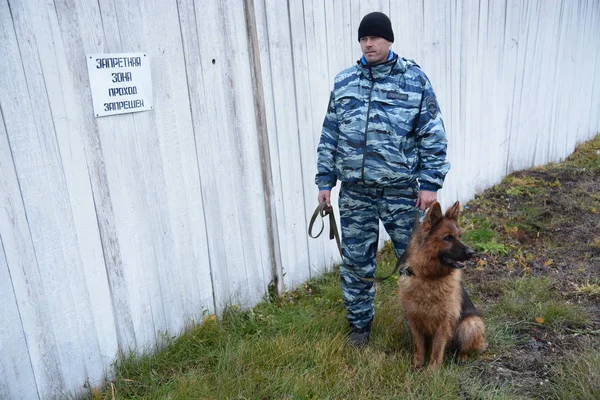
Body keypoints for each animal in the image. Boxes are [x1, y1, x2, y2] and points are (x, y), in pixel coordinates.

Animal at [398, 202, 488, 370]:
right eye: (448, 238)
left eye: (460, 236)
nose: (472, 253)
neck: (429, 277)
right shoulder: (414, 321)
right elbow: (419, 347)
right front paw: (417, 366)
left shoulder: (443, 324)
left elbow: (437, 349)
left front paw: (432, 371)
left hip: (469, 323)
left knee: (463, 347)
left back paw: (462, 357)